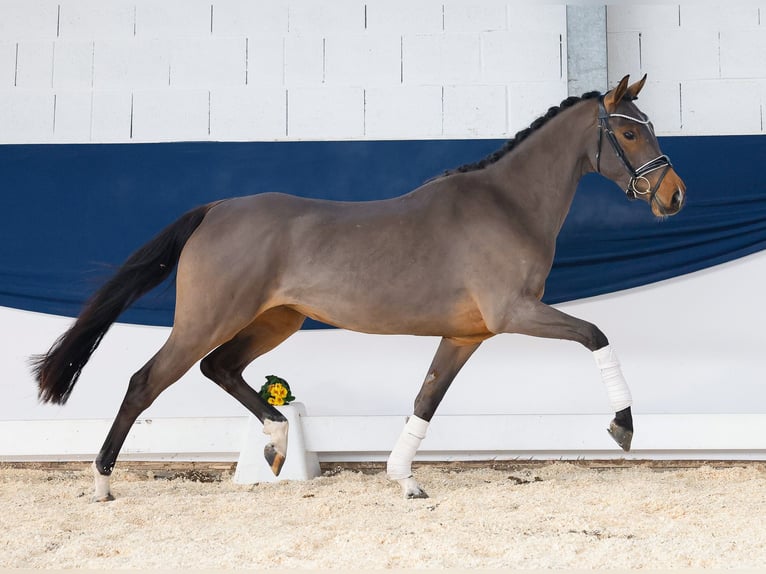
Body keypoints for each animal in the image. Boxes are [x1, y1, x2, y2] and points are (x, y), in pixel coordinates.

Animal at [31, 74, 688, 502]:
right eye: (630, 135)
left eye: (651, 128)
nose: (674, 195)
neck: (507, 205)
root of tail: (216, 210)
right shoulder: (514, 313)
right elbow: (596, 334)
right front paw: (623, 427)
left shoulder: (467, 334)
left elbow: (426, 400)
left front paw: (406, 479)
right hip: (208, 319)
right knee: (146, 382)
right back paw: (102, 484)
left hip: (276, 320)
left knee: (220, 369)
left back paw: (275, 445)